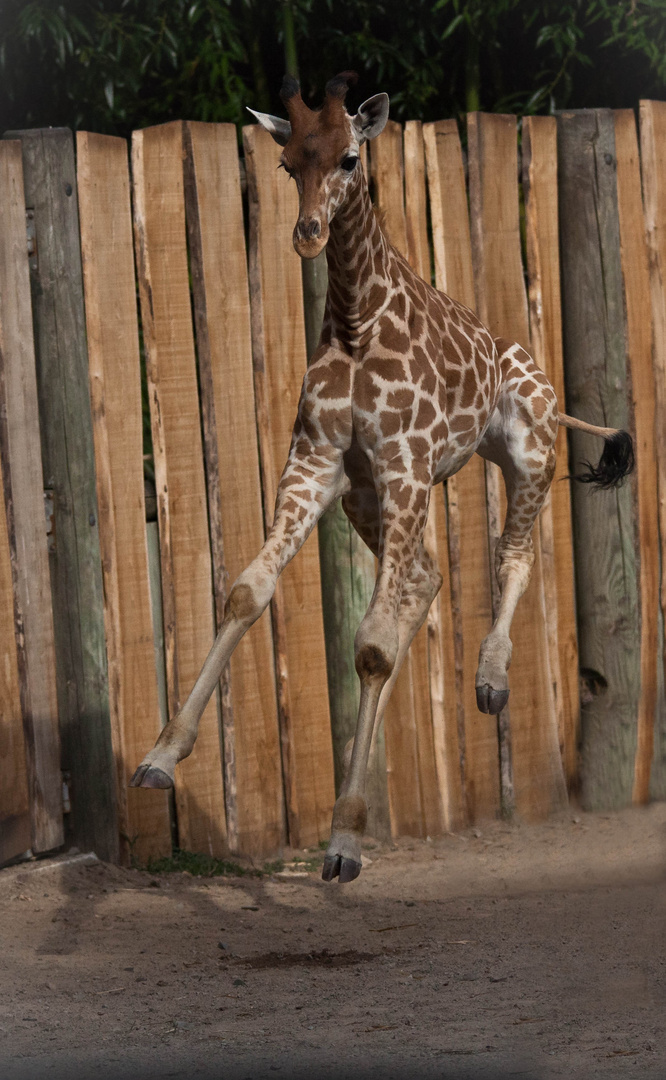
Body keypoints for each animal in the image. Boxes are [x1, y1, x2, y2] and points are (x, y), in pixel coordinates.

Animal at [131, 73, 634, 885]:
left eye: (348, 157)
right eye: (287, 166)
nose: (307, 233)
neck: (357, 321)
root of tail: (553, 394)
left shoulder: (404, 461)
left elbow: (368, 645)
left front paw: (343, 840)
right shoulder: (316, 462)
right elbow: (246, 591)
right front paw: (159, 758)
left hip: (523, 454)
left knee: (511, 554)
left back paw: (492, 682)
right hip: (367, 498)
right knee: (425, 578)